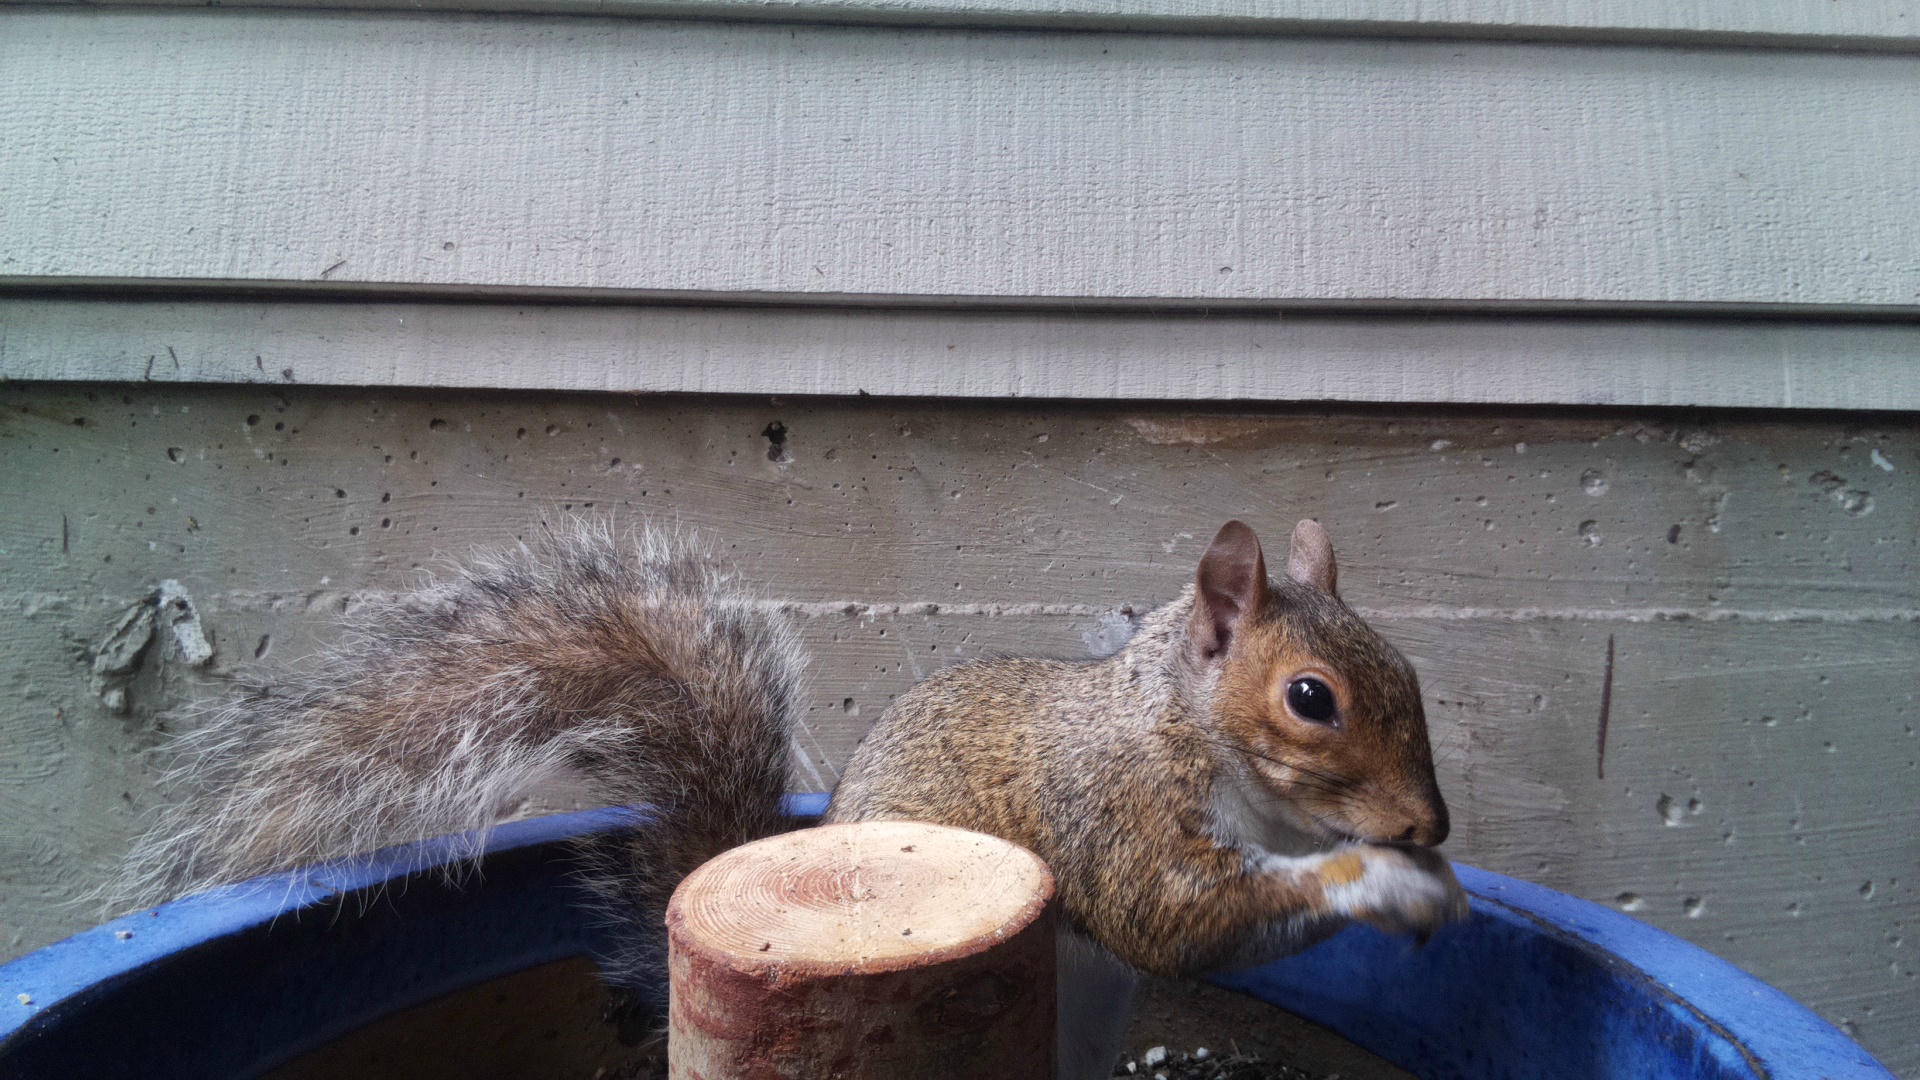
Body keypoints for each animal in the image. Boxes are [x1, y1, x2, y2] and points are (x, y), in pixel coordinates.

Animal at [115, 518, 1466, 1080]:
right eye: (1311, 698)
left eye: (1412, 671)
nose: (1431, 825)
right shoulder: (1114, 807)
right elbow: (1175, 918)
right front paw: (1389, 883)